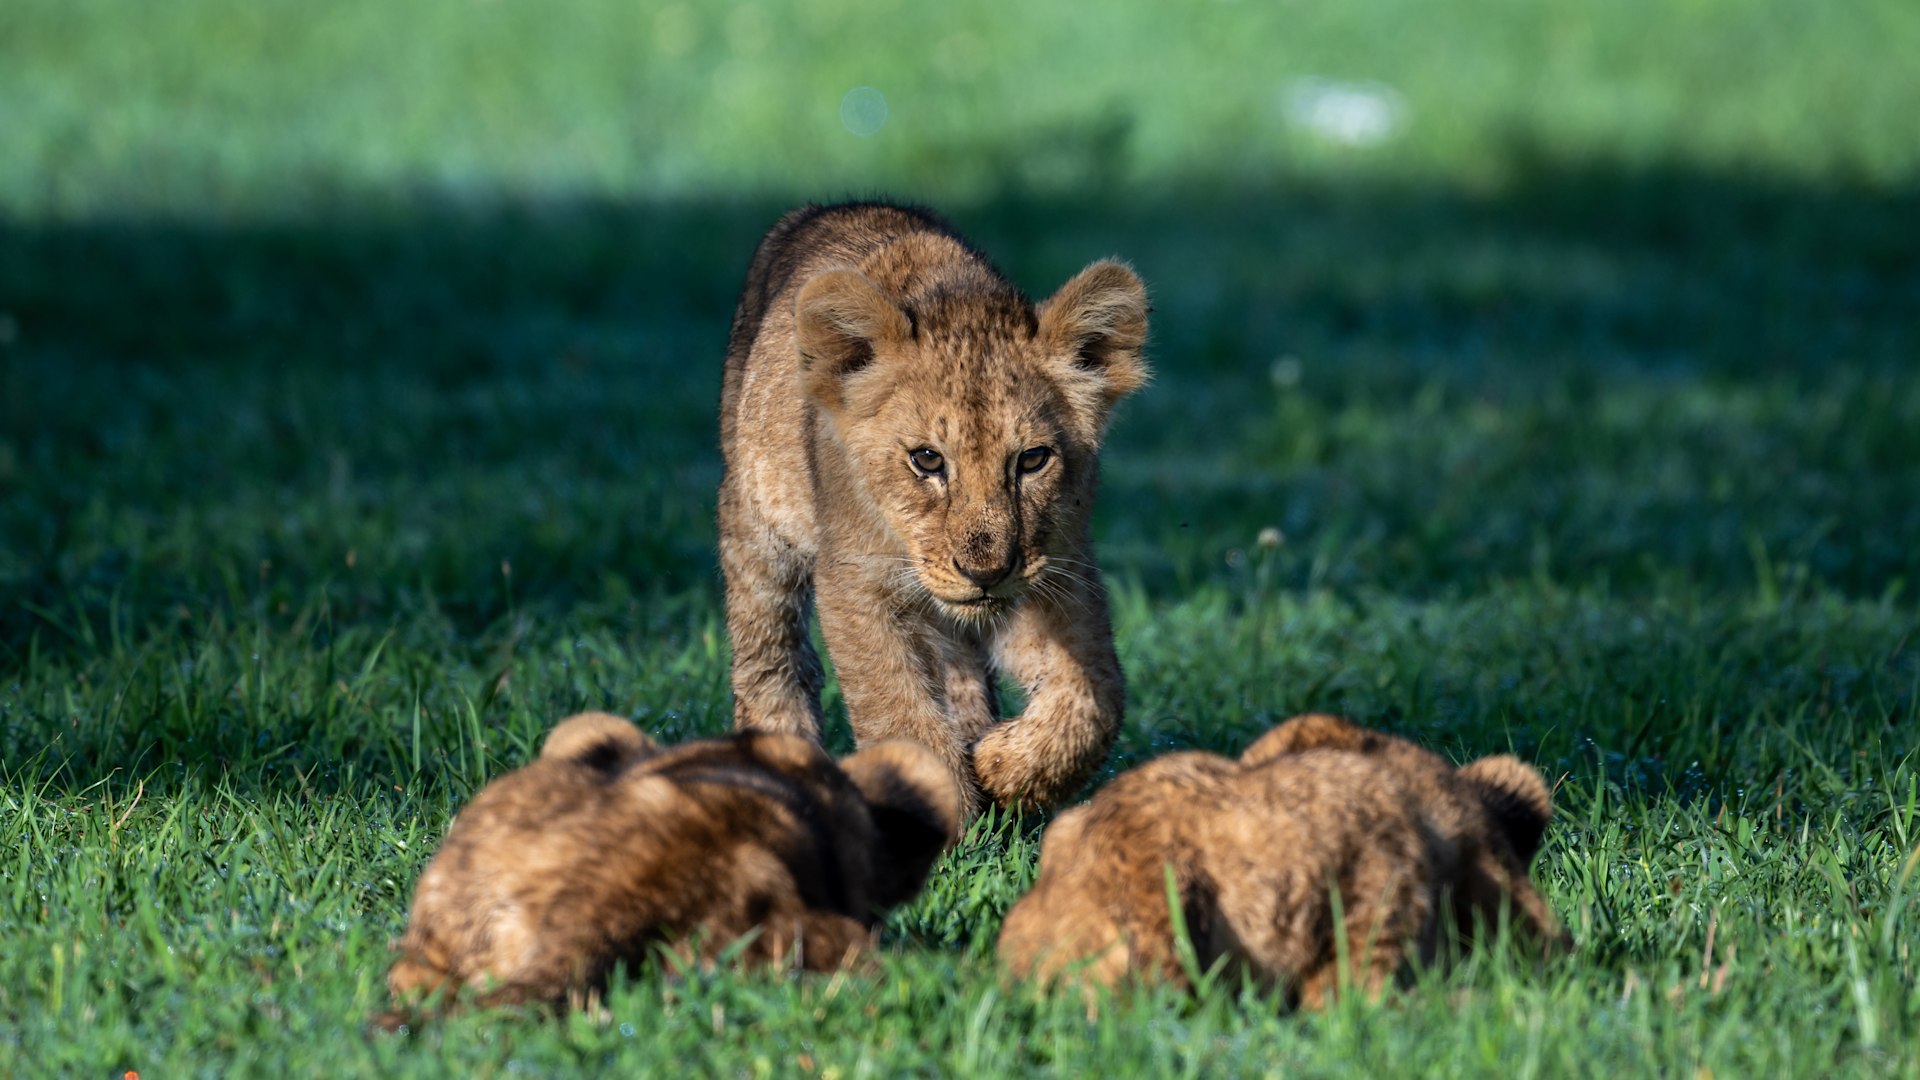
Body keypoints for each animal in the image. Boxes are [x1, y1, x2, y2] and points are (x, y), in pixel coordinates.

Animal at [717, 201, 1149, 817]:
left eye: (1032, 460)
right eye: (926, 459)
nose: (985, 573)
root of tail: (832, 206)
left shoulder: (1058, 571)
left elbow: (1095, 701)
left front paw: (1001, 767)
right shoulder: (856, 580)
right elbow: (897, 707)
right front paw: (940, 812)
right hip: (756, 519)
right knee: (771, 653)